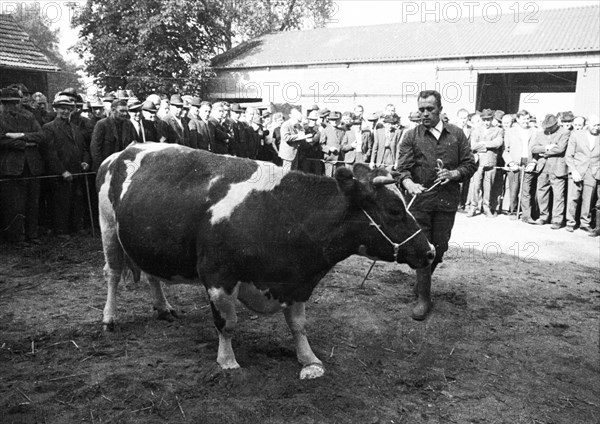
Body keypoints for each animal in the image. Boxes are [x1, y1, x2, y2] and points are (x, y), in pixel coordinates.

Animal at [98, 142, 436, 378]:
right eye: (394, 209)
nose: (430, 250)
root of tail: (122, 151)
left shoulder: (297, 281)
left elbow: (298, 325)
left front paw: (308, 358)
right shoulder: (217, 276)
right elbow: (227, 322)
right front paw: (227, 361)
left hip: (144, 239)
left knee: (151, 273)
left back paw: (163, 307)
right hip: (108, 228)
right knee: (112, 273)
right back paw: (109, 318)